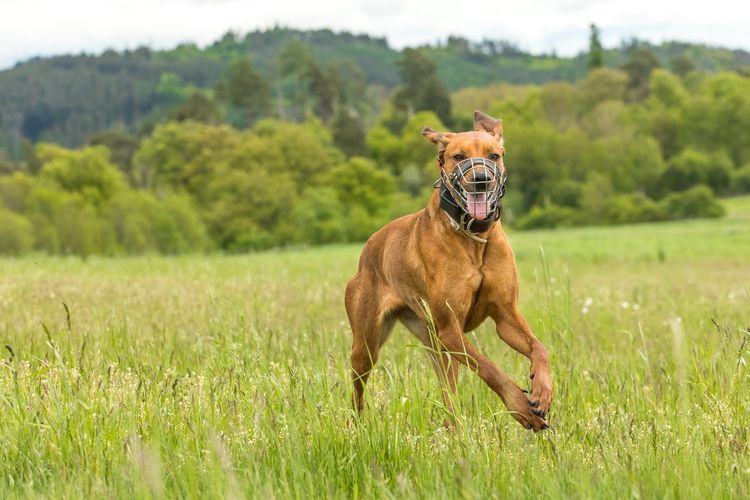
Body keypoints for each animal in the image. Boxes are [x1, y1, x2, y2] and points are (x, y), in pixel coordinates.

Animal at [346, 111, 552, 432]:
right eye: (458, 156)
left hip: (437, 349)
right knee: (357, 387)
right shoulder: (451, 329)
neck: (473, 236)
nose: (481, 180)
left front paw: (543, 390)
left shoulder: (505, 316)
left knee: (449, 394)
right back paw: (358, 425)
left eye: (494, 155)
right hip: (367, 345)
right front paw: (520, 406)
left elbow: (539, 348)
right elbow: (490, 368)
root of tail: (368, 248)